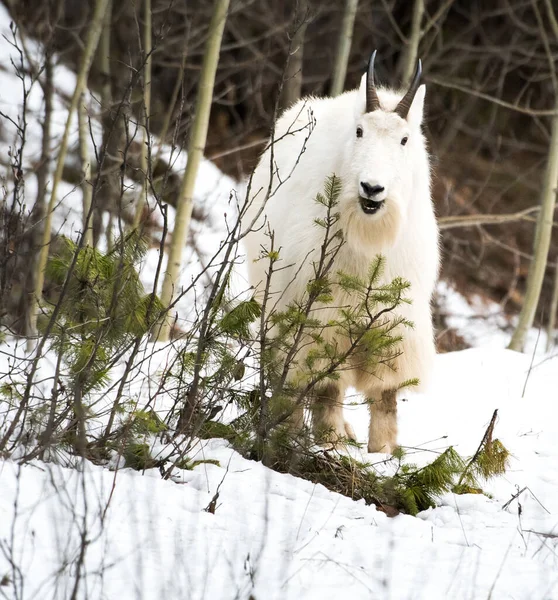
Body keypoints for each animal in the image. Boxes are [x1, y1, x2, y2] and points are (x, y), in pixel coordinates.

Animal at [243, 51, 440, 452]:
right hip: (274, 303)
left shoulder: (394, 323)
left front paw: (384, 451)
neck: (369, 244)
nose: (372, 188)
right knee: (282, 370)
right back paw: (289, 427)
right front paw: (330, 442)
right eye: (360, 132)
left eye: (404, 139)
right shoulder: (322, 319)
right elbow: (327, 387)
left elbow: (386, 395)